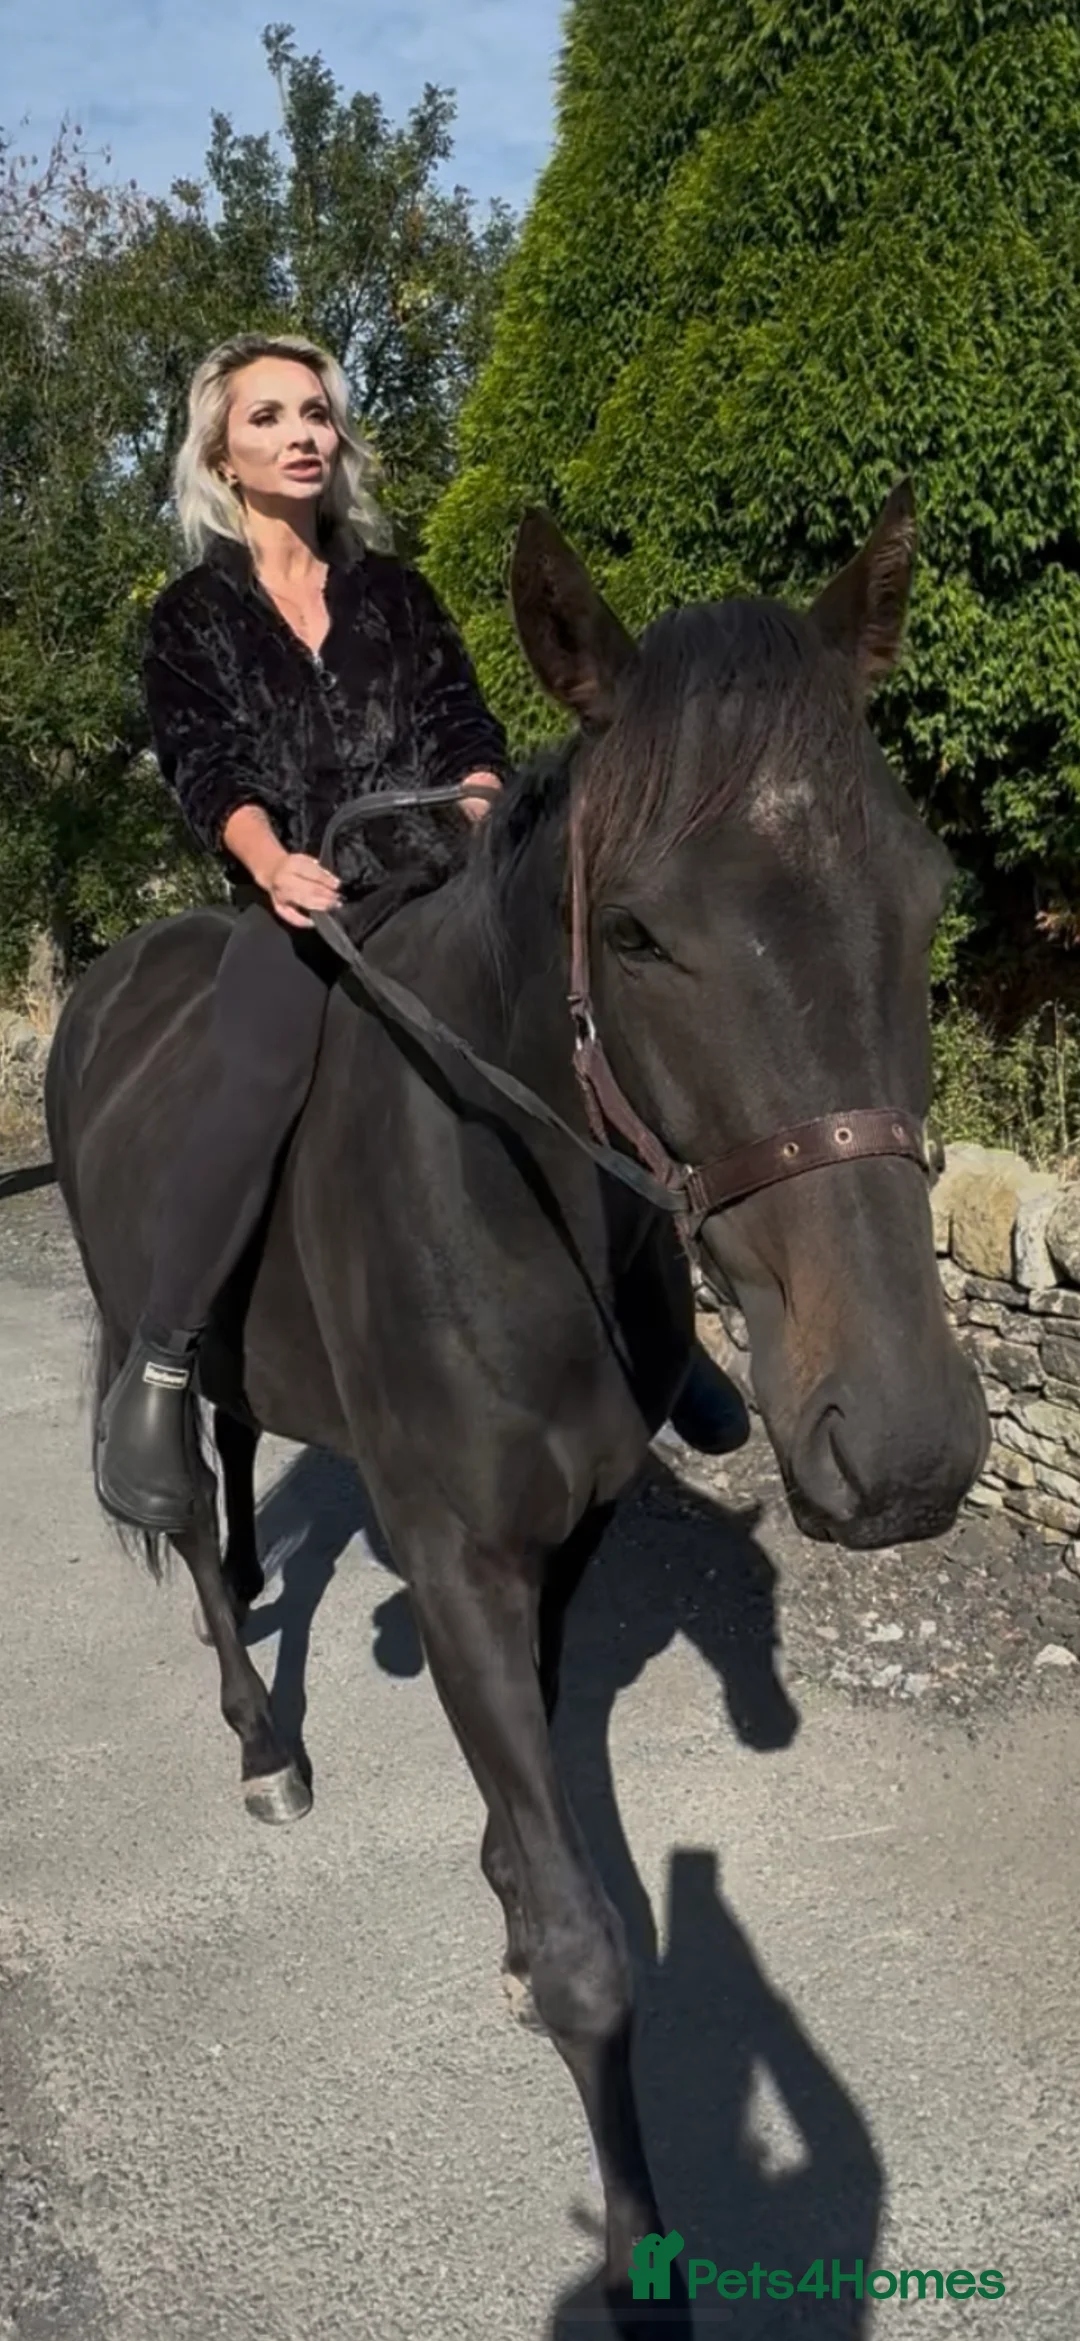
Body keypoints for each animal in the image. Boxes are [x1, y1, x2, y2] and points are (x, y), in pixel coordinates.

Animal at [45, 484, 987, 2316]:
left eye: (920, 898)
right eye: (634, 931)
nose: (907, 1447)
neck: (503, 1191)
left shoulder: (562, 1540)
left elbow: (535, 1793)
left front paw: (497, 1894)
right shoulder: (456, 1551)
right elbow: (591, 1954)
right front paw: (638, 2258)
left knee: (239, 1451)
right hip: (138, 1321)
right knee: (178, 1493)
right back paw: (260, 1735)